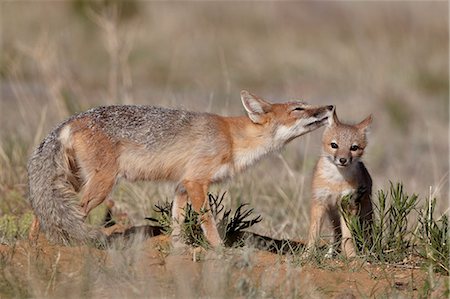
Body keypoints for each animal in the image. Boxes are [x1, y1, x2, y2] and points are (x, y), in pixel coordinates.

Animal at [27, 90, 330, 247]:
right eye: (298, 109)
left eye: (306, 105)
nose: (329, 105)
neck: (233, 139)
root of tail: (70, 120)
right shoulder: (197, 182)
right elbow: (208, 221)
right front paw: (220, 252)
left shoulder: (182, 185)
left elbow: (176, 220)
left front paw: (178, 249)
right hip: (101, 186)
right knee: (67, 213)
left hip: (76, 181)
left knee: (42, 210)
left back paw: (33, 243)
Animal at [308, 109, 374, 258]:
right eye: (334, 145)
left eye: (354, 148)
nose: (343, 160)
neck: (336, 181)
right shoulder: (319, 203)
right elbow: (313, 234)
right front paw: (306, 255)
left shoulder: (348, 205)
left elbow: (348, 236)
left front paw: (351, 256)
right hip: (333, 215)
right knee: (336, 234)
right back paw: (329, 254)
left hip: (364, 214)